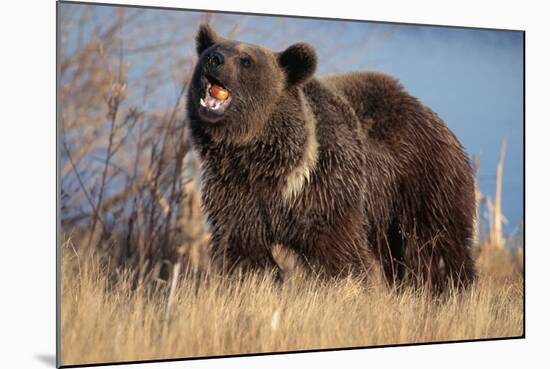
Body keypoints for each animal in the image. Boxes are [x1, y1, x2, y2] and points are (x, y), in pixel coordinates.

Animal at [188, 24, 476, 292]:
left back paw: (450, 288)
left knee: (437, 245)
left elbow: (338, 255)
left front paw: (343, 289)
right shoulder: (237, 192)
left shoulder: (326, 189)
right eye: (212, 50)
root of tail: (435, 117)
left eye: (246, 60)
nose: (214, 58)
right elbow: (245, 253)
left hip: (426, 182)